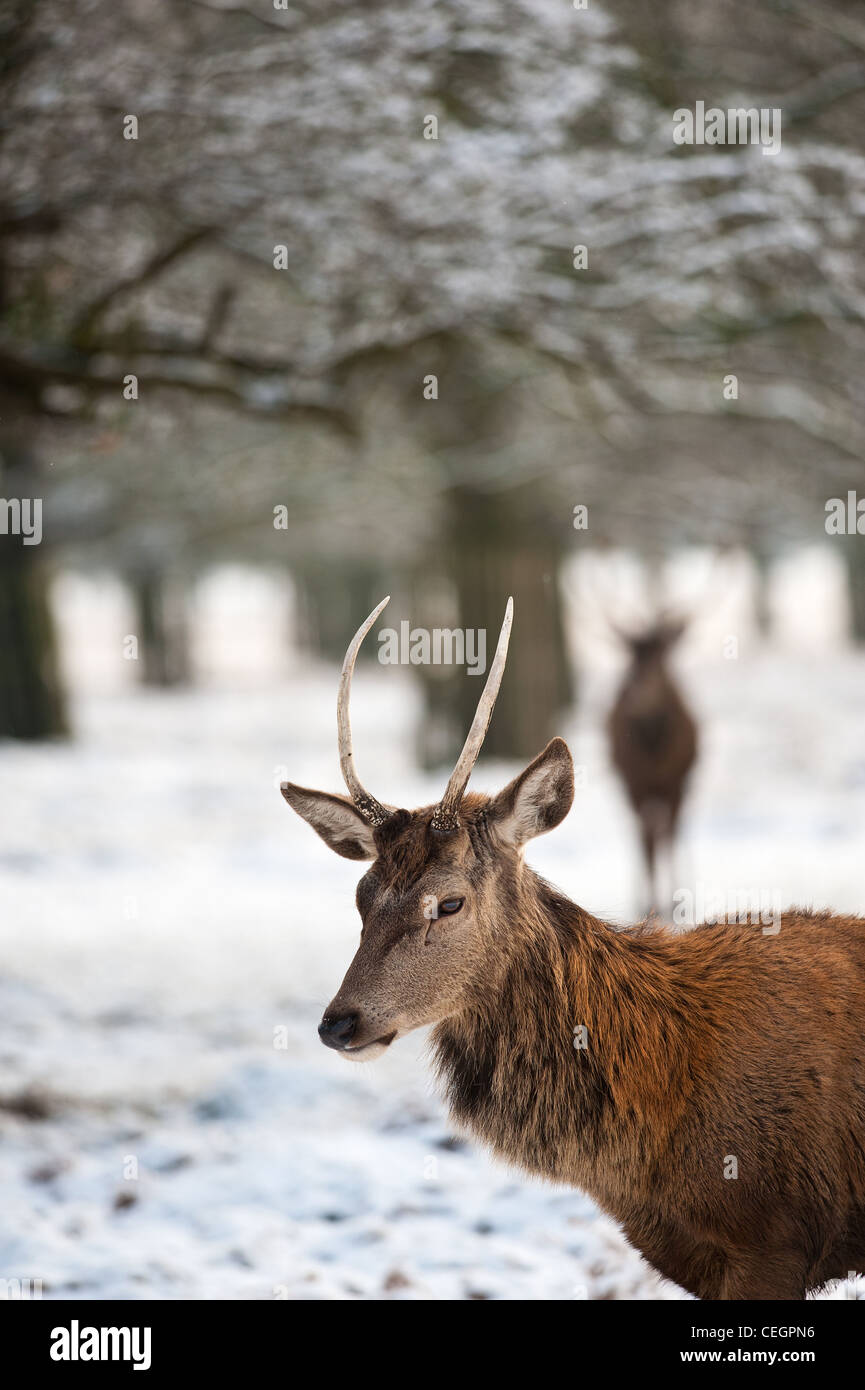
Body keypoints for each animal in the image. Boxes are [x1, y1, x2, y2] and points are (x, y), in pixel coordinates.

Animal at [609, 617, 698, 917]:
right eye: (631, 658)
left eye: (661, 660)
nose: (634, 695)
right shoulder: (635, 782)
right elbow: (646, 837)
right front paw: (650, 904)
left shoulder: (677, 783)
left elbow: (669, 833)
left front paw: (678, 901)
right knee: (645, 833)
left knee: (663, 831)